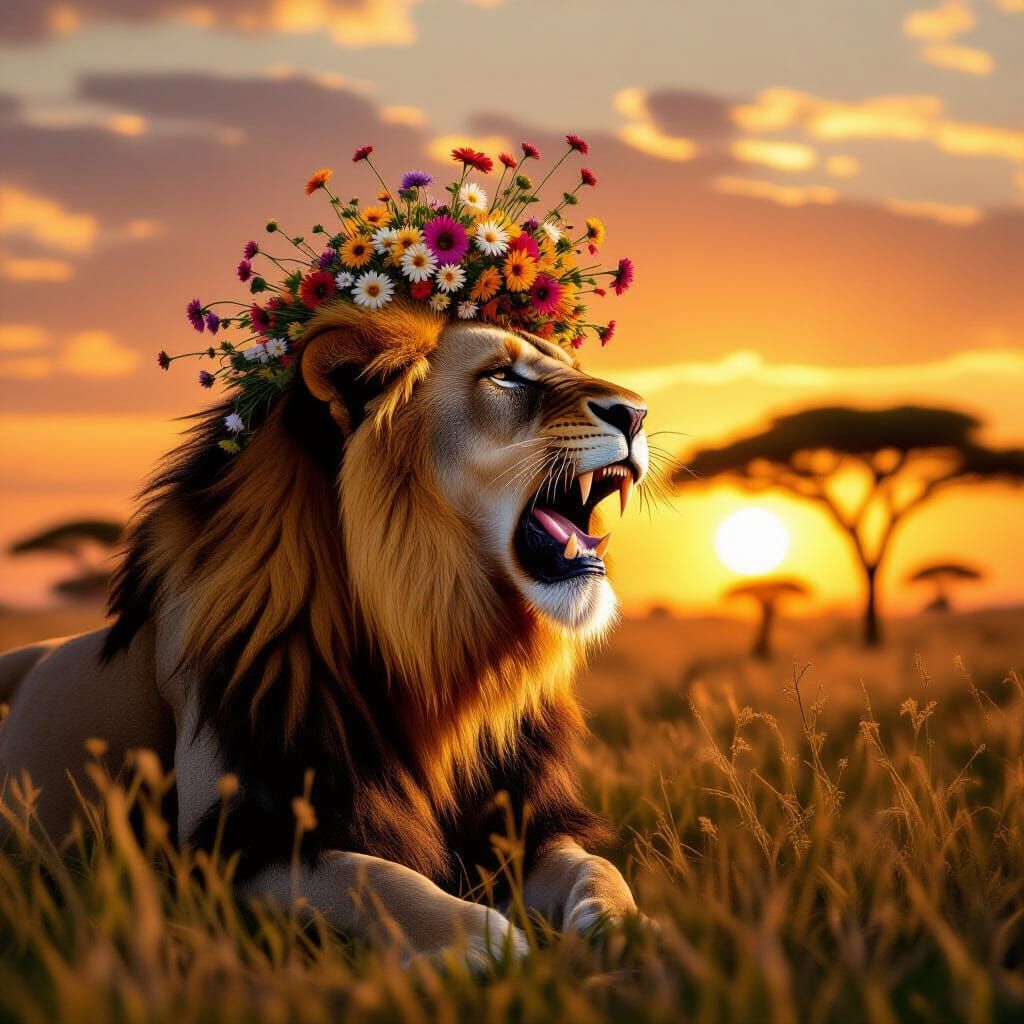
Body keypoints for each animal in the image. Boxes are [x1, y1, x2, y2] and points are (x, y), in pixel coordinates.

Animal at [0, 301, 650, 963]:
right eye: (505, 377)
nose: (637, 411)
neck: (436, 655)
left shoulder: (522, 822)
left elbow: (593, 866)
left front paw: (622, 929)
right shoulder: (234, 846)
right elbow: (378, 878)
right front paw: (480, 943)